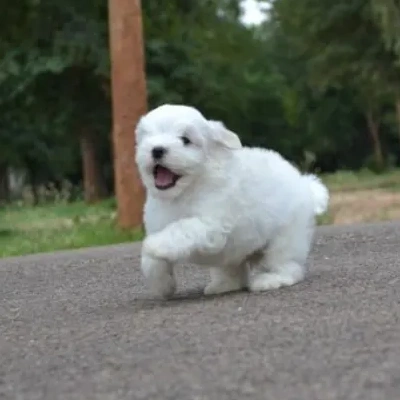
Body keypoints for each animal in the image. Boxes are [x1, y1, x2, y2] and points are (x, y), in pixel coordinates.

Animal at [134, 103, 328, 296]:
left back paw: (270, 279)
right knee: (233, 268)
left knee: (287, 265)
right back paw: (224, 285)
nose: (157, 149)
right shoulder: (158, 224)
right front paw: (162, 285)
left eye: (185, 140)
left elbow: (180, 229)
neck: (187, 189)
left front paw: (154, 245)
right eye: (148, 138)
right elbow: (152, 261)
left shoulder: (210, 224)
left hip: (286, 238)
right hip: (237, 252)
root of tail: (305, 184)